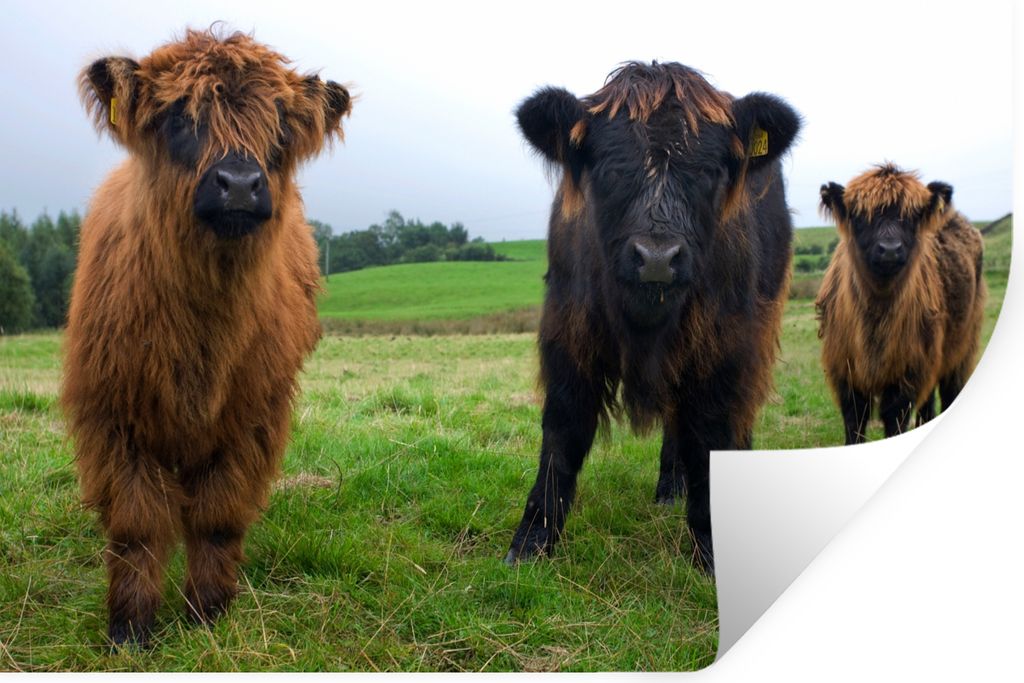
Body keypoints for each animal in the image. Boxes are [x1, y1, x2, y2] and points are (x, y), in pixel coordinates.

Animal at [62, 28, 351, 645]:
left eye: (280, 125)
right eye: (178, 116)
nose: (239, 184)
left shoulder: (251, 419)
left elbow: (218, 516)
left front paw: (208, 613)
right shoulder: (113, 416)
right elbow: (136, 524)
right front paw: (130, 628)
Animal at [505, 61, 801, 574]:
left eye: (709, 170)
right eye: (609, 168)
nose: (658, 258)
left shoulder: (724, 347)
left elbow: (712, 434)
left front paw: (712, 547)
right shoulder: (568, 333)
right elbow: (562, 431)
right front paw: (532, 540)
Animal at [816, 163, 986, 443]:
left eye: (912, 217)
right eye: (860, 216)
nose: (889, 249)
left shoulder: (908, 371)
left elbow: (894, 417)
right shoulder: (845, 370)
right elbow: (855, 420)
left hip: (962, 346)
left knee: (950, 390)